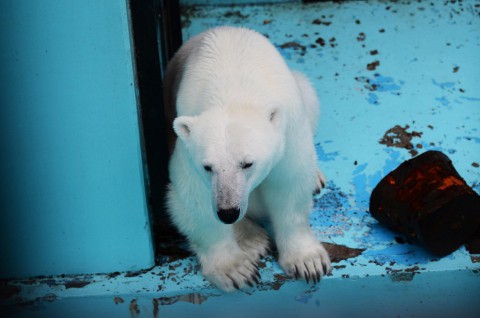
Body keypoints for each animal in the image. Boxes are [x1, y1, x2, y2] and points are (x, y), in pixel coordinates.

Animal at [164, 27, 330, 290]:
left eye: (247, 163)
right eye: (208, 167)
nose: (228, 212)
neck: (232, 92)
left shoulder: (288, 132)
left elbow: (289, 185)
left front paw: (307, 262)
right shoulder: (186, 150)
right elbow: (193, 199)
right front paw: (235, 270)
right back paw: (252, 239)